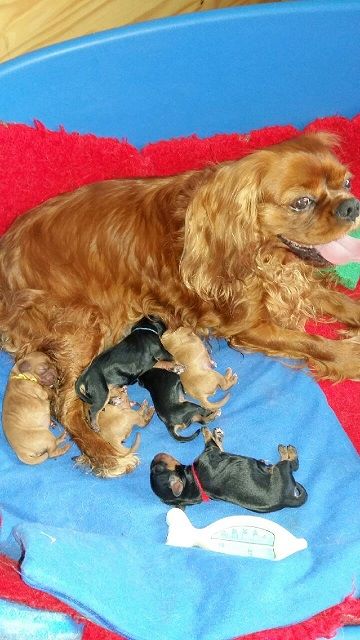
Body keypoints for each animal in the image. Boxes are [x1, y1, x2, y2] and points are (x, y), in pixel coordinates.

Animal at [149, 428, 306, 512]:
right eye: (157, 468)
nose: (154, 456)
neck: (192, 482)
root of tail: (287, 499)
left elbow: (217, 443)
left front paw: (217, 435)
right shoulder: (211, 452)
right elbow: (210, 441)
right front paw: (206, 430)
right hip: (282, 470)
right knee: (292, 464)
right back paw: (287, 451)